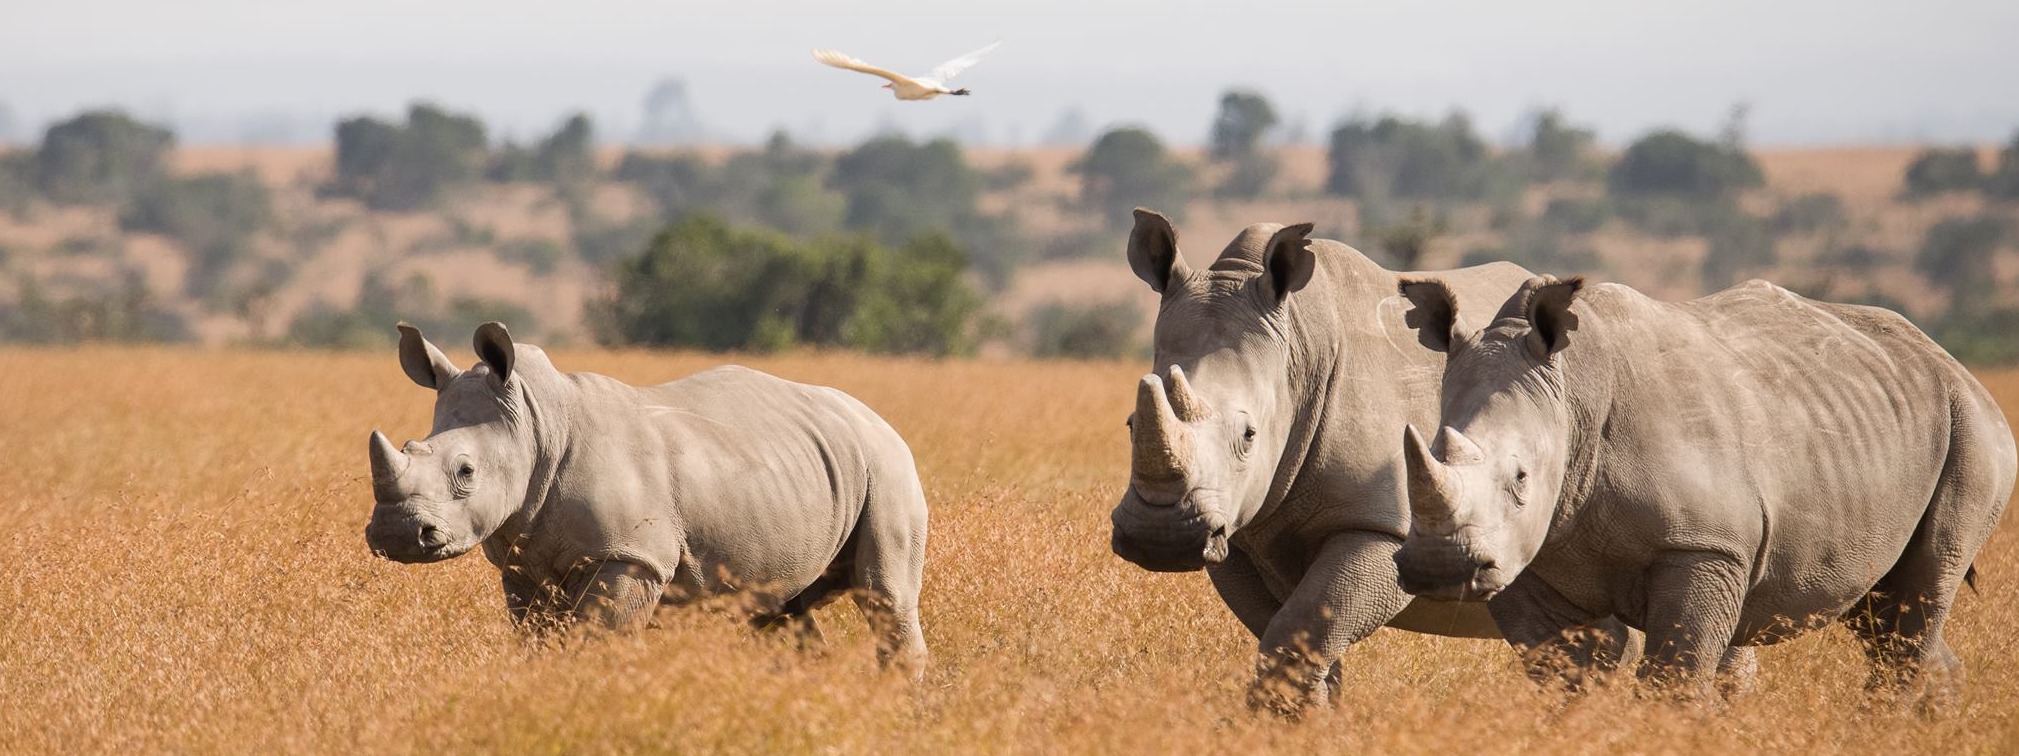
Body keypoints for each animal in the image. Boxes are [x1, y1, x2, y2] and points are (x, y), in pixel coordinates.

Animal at [364, 322, 929, 668]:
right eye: (409, 447)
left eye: (465, 471)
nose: (397, 534)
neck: (537, 422)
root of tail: (878, 419)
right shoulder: (522, 562)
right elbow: (537, 642)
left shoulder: (629, 557)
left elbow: (599, 642)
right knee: (778, 610)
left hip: (888, 467)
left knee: (886, 596)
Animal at [1104, 209, 1672, 713]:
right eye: (1130, 425)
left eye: (1249, 434)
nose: (1160, 537)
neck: (1298, 348)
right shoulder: (1241, 526)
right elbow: (1292, 633)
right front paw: (1308, 721)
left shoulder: (1383, 526)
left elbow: (1301, 627)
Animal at [1393, 276, 2016, 700]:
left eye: (1521, 478)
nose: (1440, 567)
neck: (1573, 396)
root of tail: (1949, 360)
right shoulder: (1526, 555)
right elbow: (1569, 678)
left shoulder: (1704, 545)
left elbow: (1674, 678)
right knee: (1882, 608)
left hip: (1975, 428)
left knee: (1920, 596)